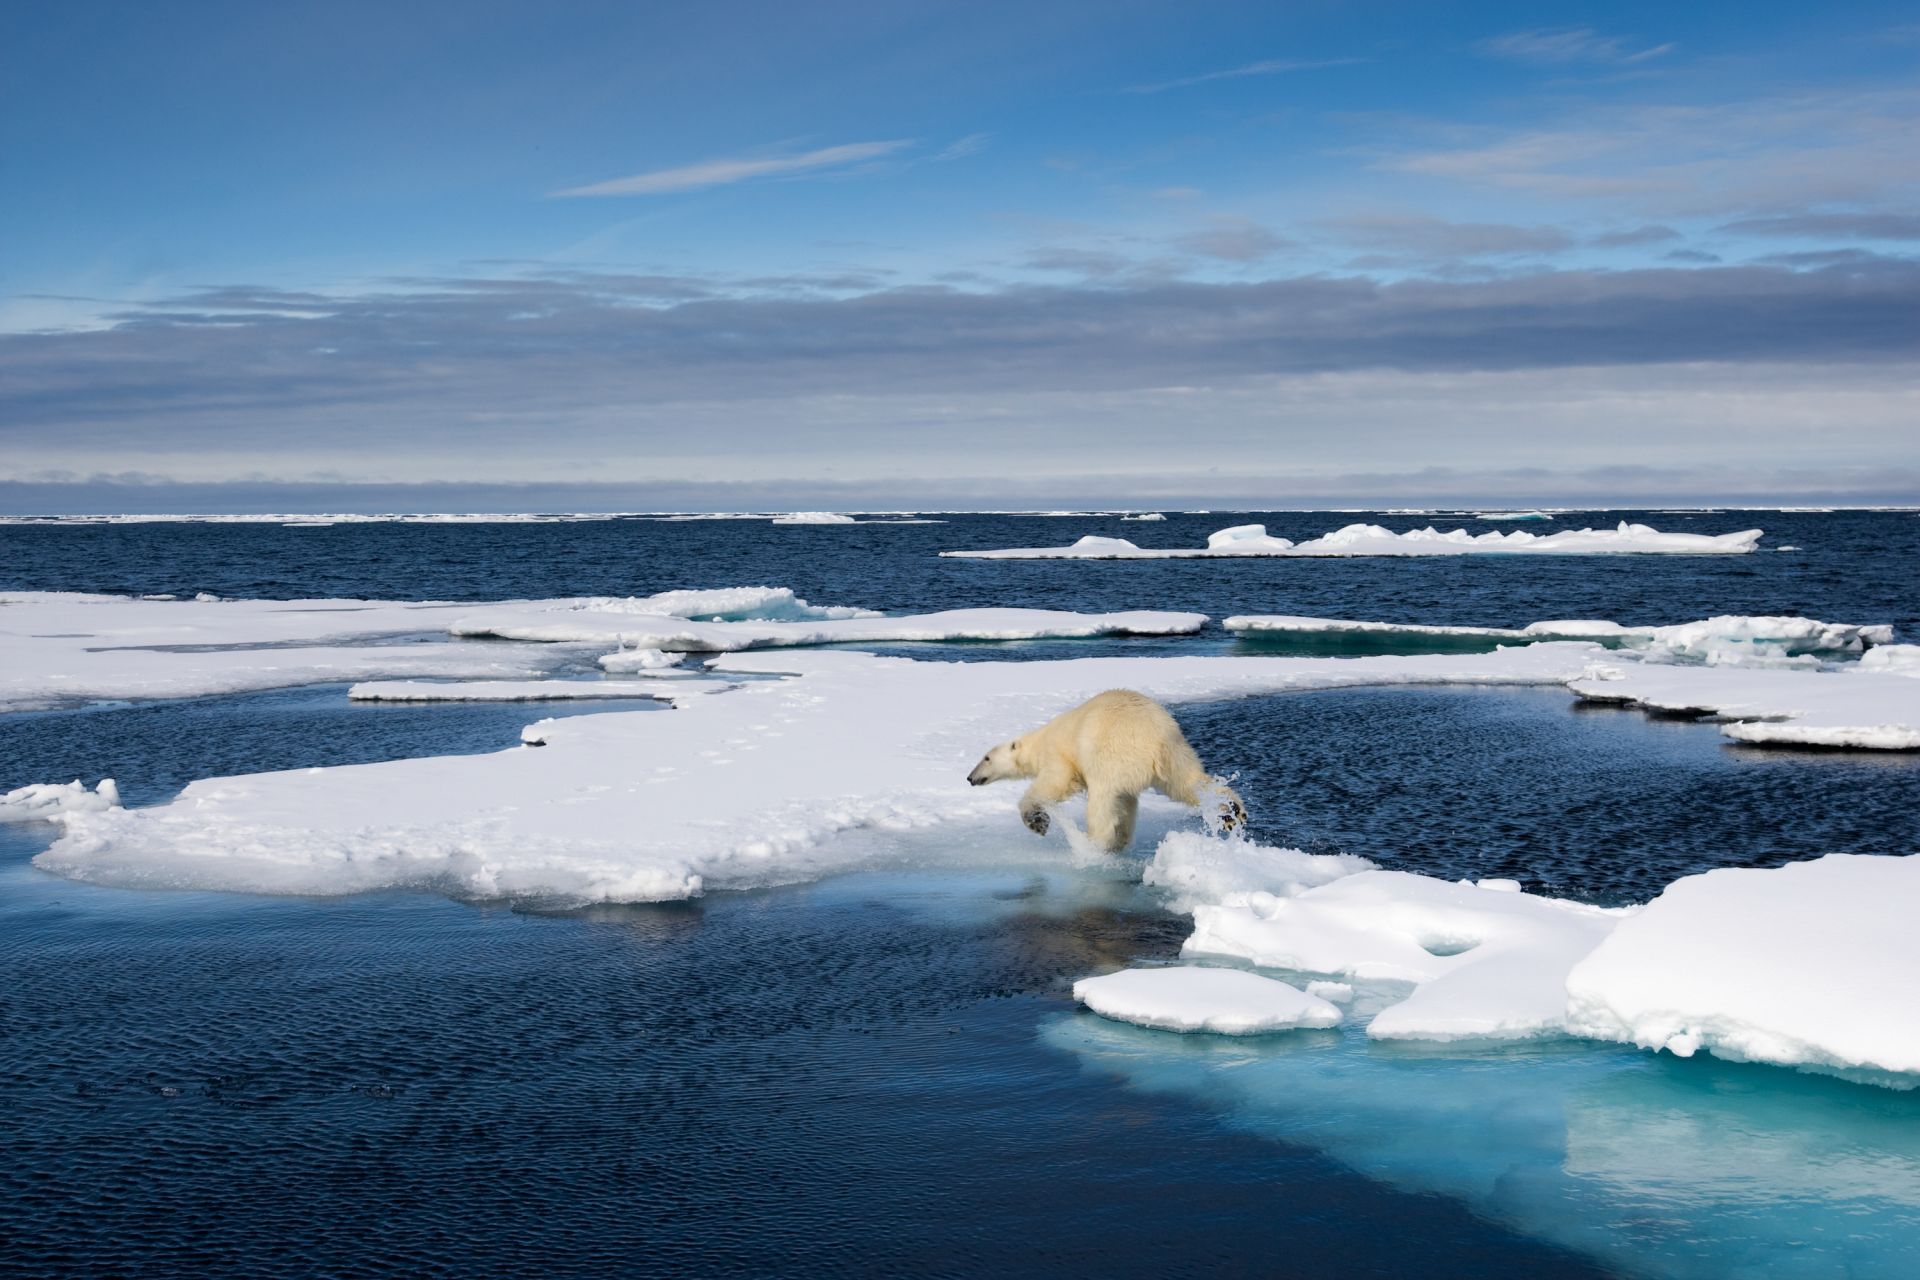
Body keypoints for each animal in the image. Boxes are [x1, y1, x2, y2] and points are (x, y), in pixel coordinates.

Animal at [967, 690, 1251, 852]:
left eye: (986, 757)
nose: (970, 777)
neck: (1039, 740)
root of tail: (1155, 738)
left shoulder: (1060, 755)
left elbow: (1054, 784)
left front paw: (1037, 820)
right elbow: (1127, 803)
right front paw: (1121, 840)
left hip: (1110, 752)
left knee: (1102, 801)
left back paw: (1092, 845)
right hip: (1176, 750)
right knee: (1187, 783)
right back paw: (1231, 811)